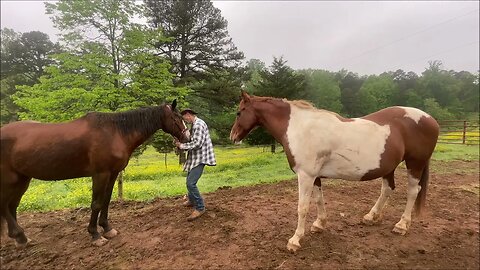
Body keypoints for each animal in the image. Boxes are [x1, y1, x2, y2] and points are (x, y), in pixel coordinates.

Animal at [0, 100, 189, 248]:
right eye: (176, 118)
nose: (187, 137)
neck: (115, 132)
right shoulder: (100, 174)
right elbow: (96, 204)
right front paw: (95, 235)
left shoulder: (113, 174)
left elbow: (106, 201)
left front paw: (107, 228)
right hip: (9, 180)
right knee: (5, 205)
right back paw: (20, 235)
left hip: (22, 179)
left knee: (12, 206)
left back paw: (20, 239)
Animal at [229, 90, 438, 251]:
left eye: (239, 112)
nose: (233, 136)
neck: (300, 128)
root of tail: (431, 119)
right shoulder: (314, 176)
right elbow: (318, 199)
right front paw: (319, 224)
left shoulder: (305, 176)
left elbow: (302, 207)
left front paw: (295, 240)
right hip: (389, 167)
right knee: (387, 189)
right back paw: (371, 216)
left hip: (415, 164)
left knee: (412, 192)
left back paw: (402, 225)